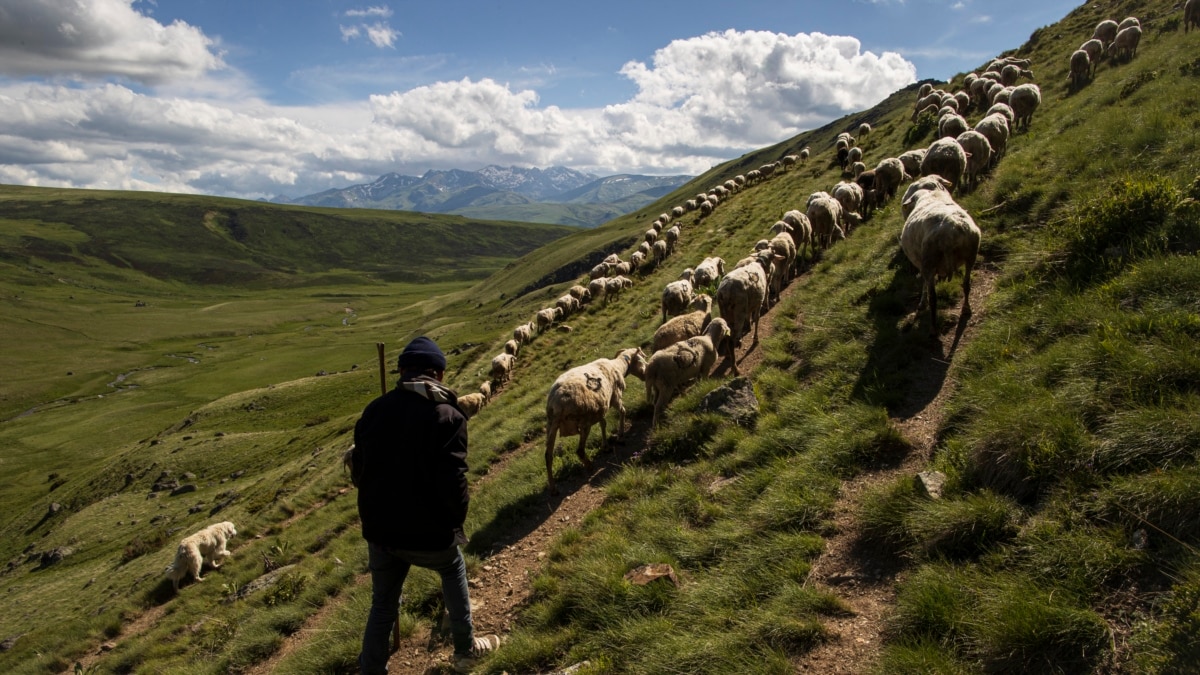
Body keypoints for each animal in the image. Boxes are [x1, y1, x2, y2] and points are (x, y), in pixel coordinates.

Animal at [544, 345, 648, 494]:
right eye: (641, 358)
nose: (646, 373)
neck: (619, 366)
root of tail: (556, 403)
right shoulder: (615, 397)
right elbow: (623, 412)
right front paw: (620, 436)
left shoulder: (600, 408)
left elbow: (603, 424)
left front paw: (606, 446)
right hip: (584, 421)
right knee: (580, 450)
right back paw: (589, 466)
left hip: (551, 425)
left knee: (548, 456)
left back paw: (553, 488)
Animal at [902, 174, 984, 336]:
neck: (929, 194)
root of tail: (951, 233)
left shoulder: (922, 263)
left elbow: (924, 284)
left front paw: (921, 304)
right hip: (971, 254)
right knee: (966, 284)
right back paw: (966, 309)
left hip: (929, 260)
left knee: (933, 298)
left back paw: (933, 329)